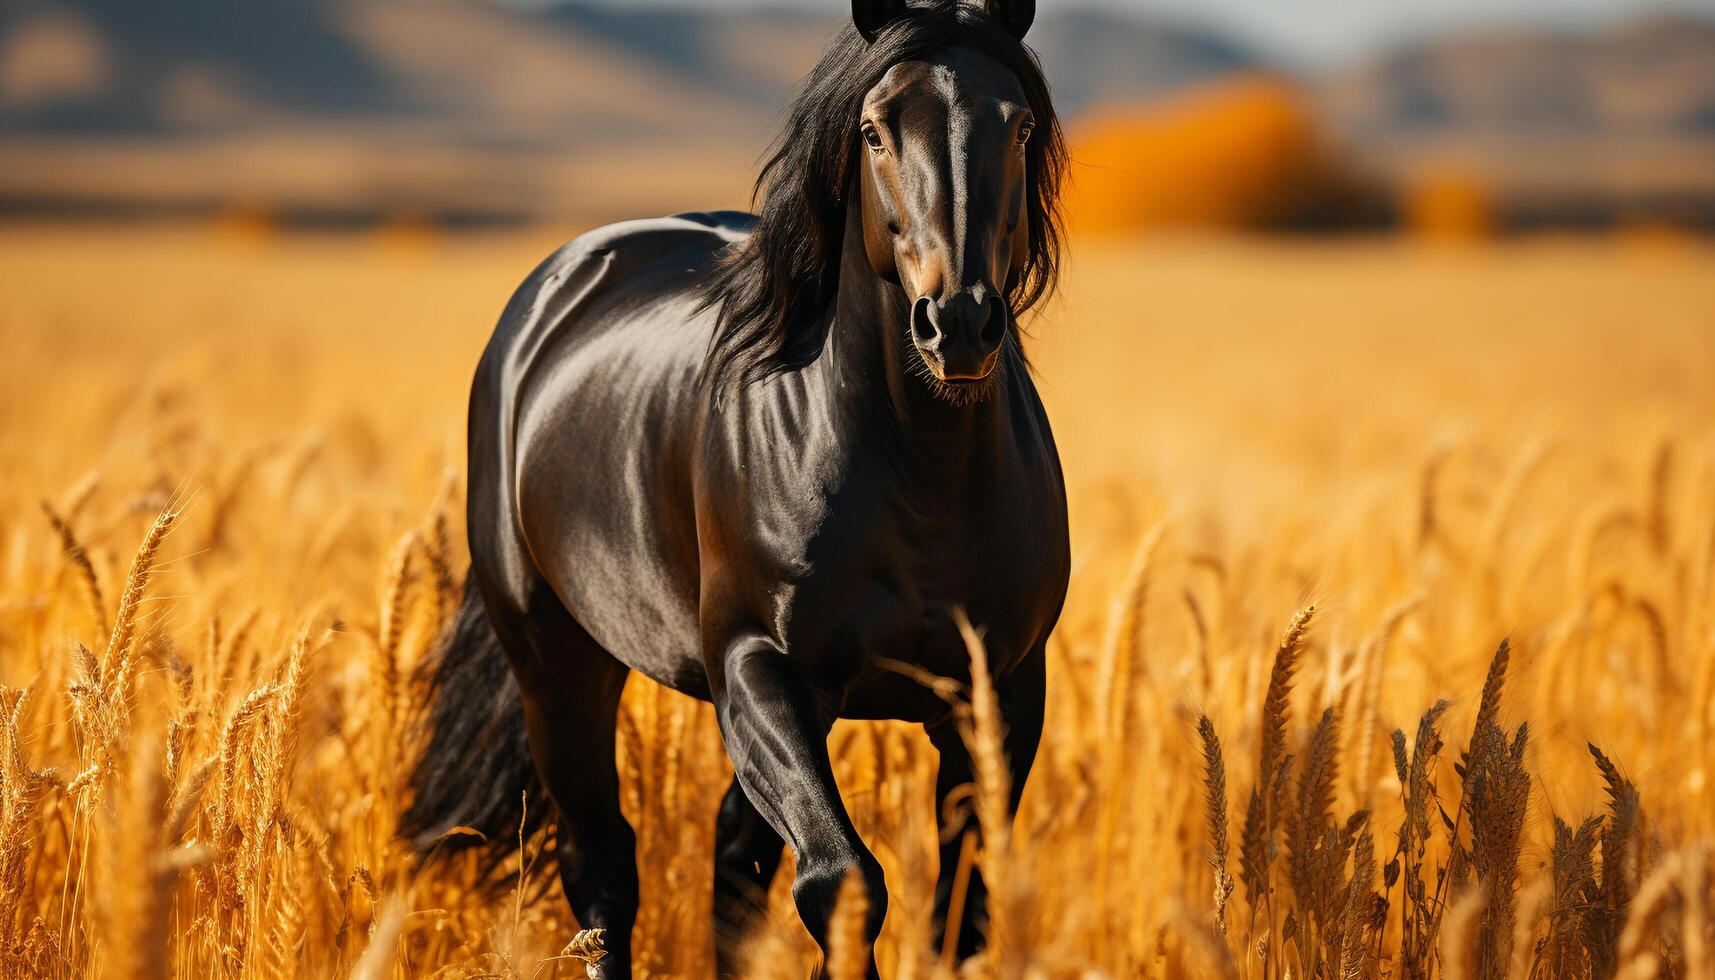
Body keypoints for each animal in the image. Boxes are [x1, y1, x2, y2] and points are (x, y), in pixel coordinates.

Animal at [406, 1, 1063, 974]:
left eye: (1017, 126)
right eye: (874, 130)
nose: (957, 324)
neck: (918, 467)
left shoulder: (1000, 694)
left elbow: (958, 911)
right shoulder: (761, 668)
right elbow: (843, 882)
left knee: (730, 861)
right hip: (558, 664)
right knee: (602, 866)